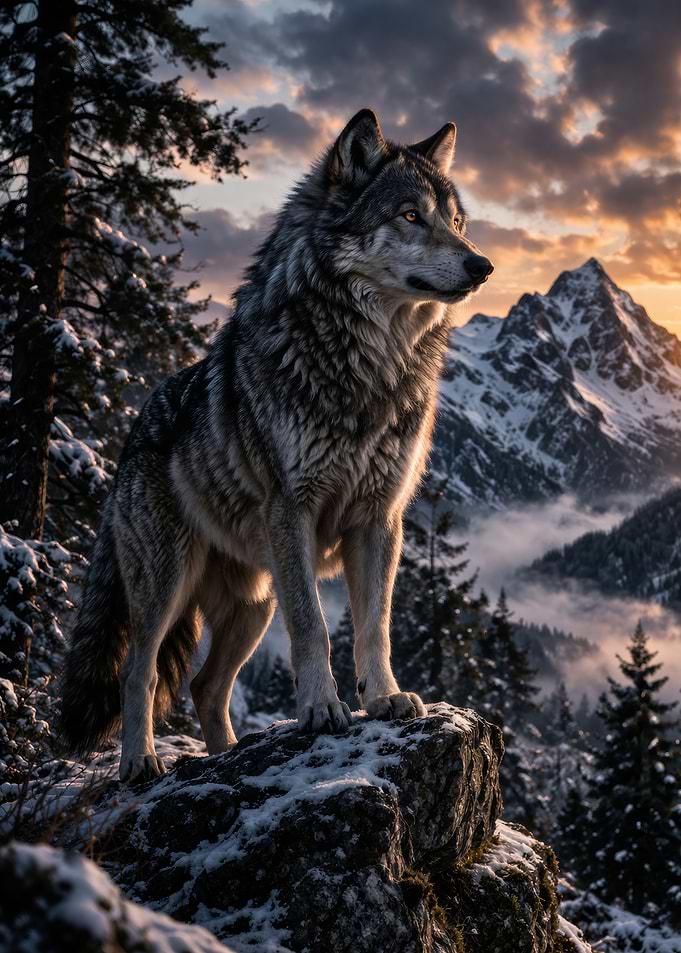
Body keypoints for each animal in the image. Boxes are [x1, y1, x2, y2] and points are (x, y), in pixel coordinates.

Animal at [60, 109, 493, 783]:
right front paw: (321, 709)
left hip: (255, 605)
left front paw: (387, 697)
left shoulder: (381, 519)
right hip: (168, 584)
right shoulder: (295, 511)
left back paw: (225, 756)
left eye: (456, 222)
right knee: (140, 671)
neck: (370, 363)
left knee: (206, 686)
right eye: (409, 216)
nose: (483, 266)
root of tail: (128, 437)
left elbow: (376, 625)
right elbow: (314, 627)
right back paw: (141, 761)